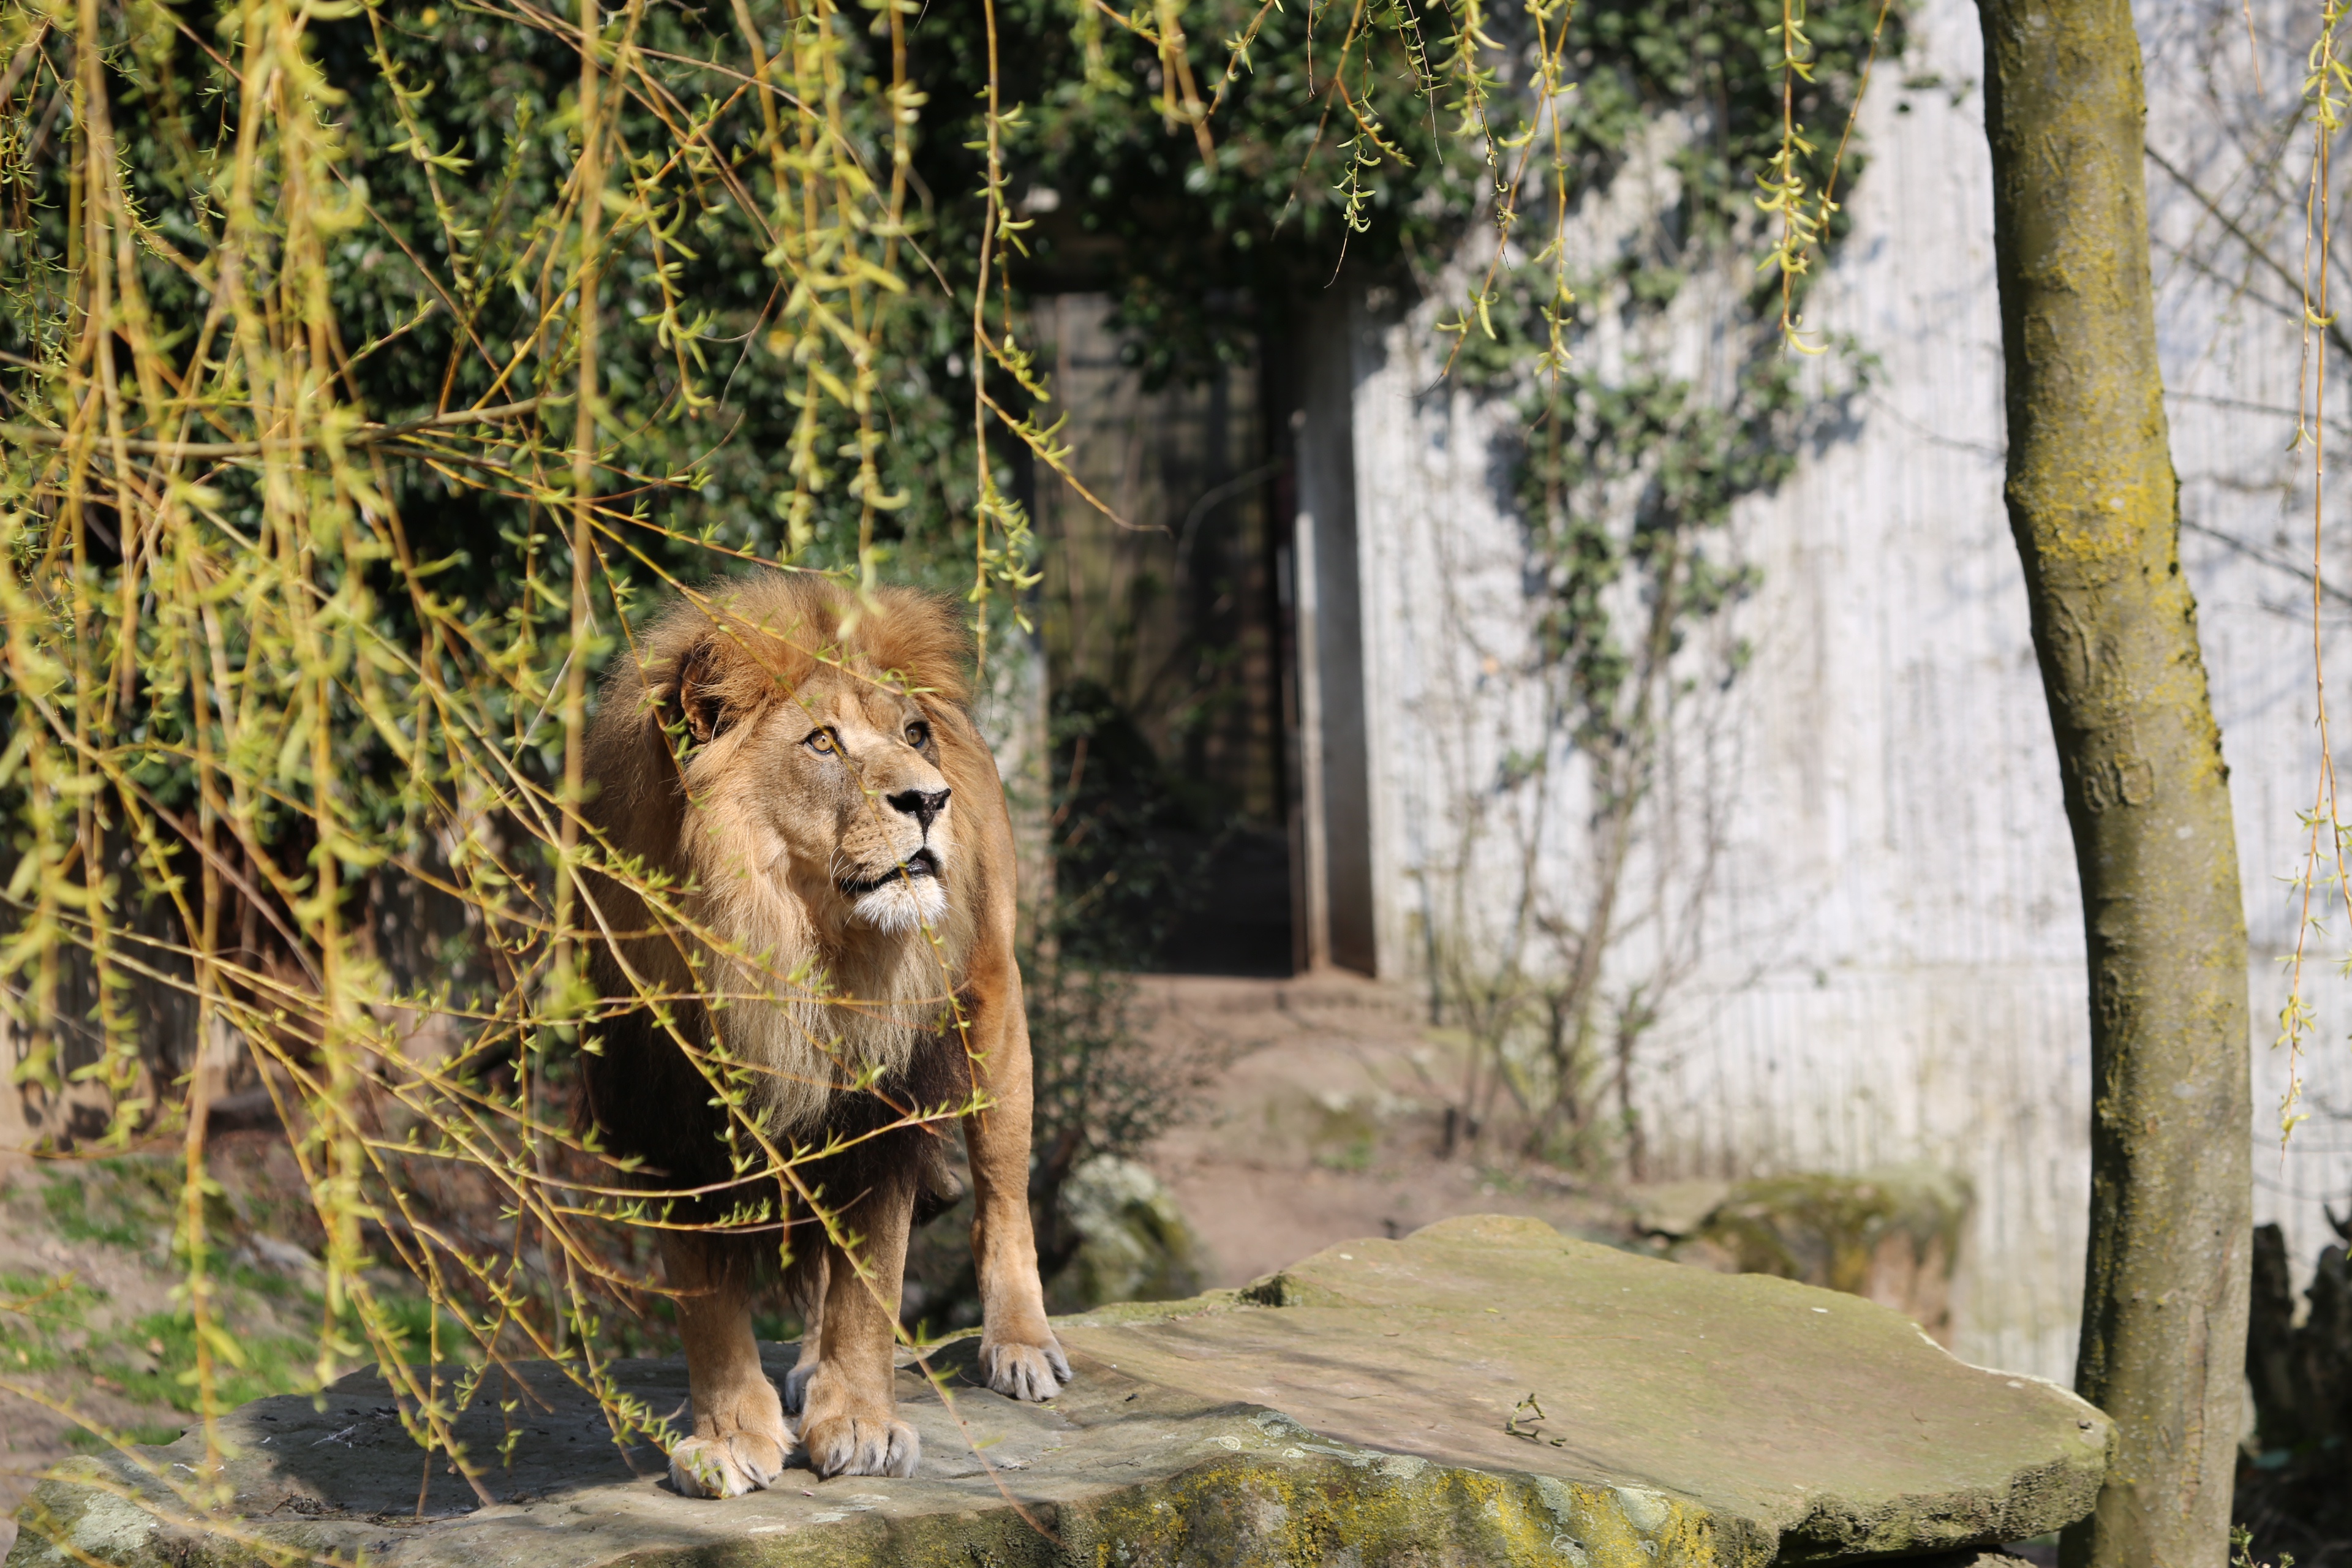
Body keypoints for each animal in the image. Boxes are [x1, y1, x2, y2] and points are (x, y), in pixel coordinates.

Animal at [576, 573, 1068, 1495]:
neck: (788, 952)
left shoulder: (884, 1106)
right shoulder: (672, 1118)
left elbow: (872, 1278)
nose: (930, 798)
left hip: (995, 1010)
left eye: (911, 734)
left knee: (1002, 1201)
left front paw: (863, 1425)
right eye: (823, 743)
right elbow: (708, 1305)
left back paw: (1020, 1345)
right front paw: (731, 1438)